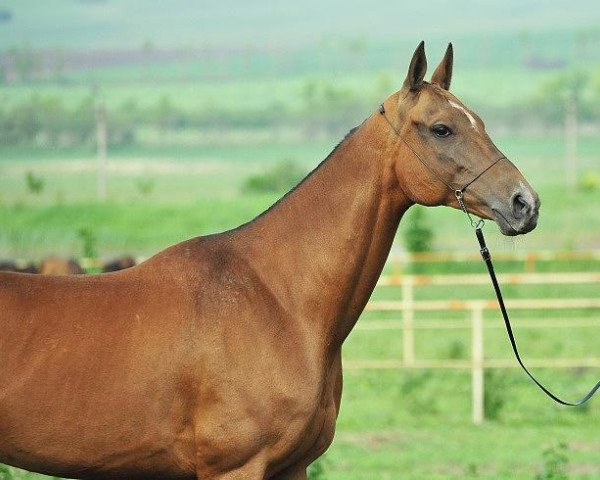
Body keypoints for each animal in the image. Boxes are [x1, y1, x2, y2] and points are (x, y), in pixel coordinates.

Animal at [0, 43, 540, 478]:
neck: (278, 299)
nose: (525, 203)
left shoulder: (292, 468)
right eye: (442, 128)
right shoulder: (234, 468)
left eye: (479, 121)